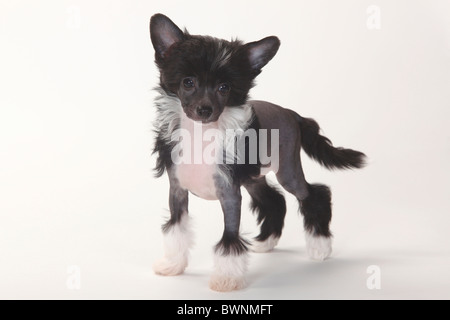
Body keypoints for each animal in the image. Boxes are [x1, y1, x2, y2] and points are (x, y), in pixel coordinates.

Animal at [149, 13, 366, 292]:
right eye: (188, 82)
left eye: (224, 87)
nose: (205, 110)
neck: (201, 135)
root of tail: (291, 113)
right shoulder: (177, 190)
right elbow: (176, 228)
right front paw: (172, 265)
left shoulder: (229, 194)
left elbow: (230, 238)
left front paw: (227, 278)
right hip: (255, 177)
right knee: (274, 200)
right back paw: (266, 242)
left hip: (288, 169)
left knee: (314, 194)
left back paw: (320, 246)